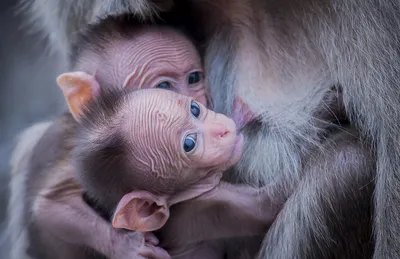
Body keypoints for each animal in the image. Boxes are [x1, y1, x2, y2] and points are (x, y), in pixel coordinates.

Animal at [15, 0, 400, 259]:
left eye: (194, 81)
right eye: (164, 87)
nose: (219, 126)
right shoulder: (213, 203)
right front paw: (127, 245)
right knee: (346, 166)